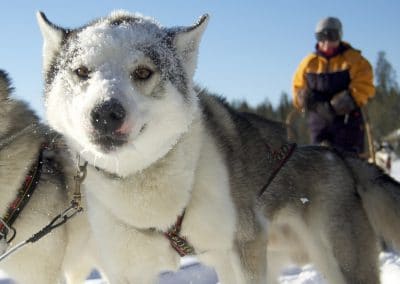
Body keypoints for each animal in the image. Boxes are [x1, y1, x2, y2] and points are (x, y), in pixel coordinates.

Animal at [36, 10, 400, 284]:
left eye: (142, 72)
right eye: (82, 71)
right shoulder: (128, 270)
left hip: (341, 263)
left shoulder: (240, 251)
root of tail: (339, 156)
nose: (104, 114)